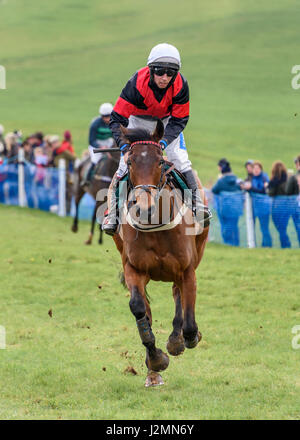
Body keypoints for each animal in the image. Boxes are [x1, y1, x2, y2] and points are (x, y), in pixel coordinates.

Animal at [112, 120, 209, 384]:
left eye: (159, 162)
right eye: (130, 162)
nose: (143, 207)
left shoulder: (187, 270)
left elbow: (189, 320)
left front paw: (183, 339)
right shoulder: (133, 268)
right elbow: (139, 307)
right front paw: (155, 359)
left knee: (178, 294)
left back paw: (177, 339)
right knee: (146, 308)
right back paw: (152, 372)